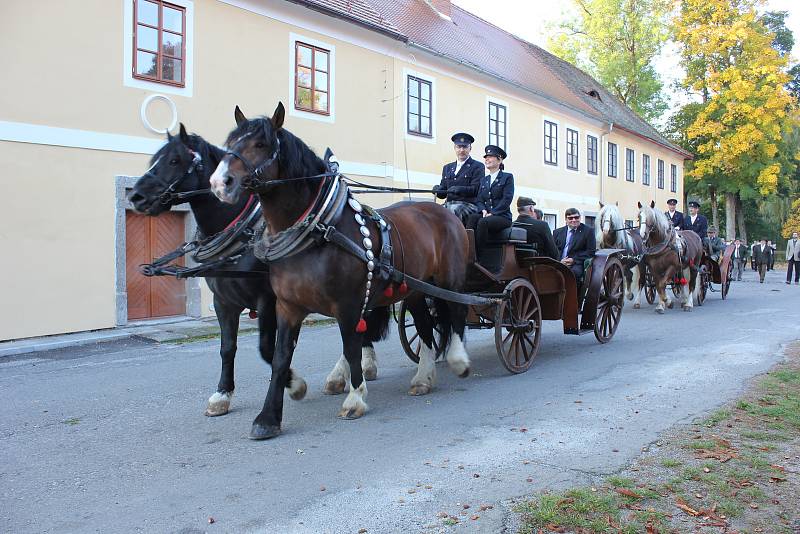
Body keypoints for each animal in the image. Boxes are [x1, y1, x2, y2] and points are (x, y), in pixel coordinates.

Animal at [130, 126, 380, 418]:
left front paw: (295, 384)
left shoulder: (268, 300)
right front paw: (222, 395)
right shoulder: (223, 302)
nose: (136, 197)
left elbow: (266, 348)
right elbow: (228, 348)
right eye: (154, 159)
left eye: (174, 160)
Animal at [205, 102, 476, 442]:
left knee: (456, 312)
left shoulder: (347, 304)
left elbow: (352, 346)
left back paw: (458, 360)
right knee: (426, 327)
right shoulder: (286, 306)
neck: (319, 230)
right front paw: (269, 416)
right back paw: (423, 378)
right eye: (230, 143)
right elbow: (279, 357)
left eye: (261, 144)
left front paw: (355, 397)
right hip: (415, 289)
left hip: (448, 280)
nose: (220, 182)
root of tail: (443, 210)